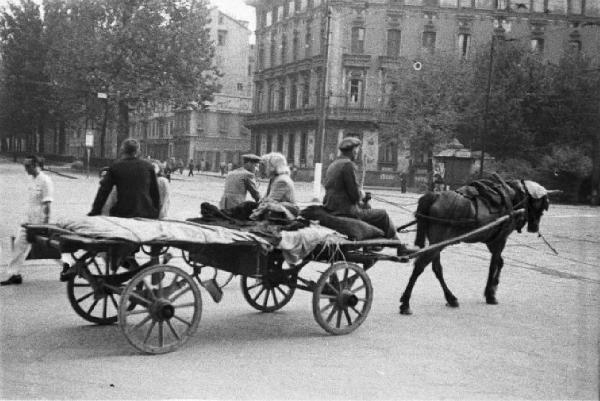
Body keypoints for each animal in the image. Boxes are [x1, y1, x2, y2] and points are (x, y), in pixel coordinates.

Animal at [400, 177, 552, 314]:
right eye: (541, 204)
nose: (534, 227)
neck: (513, 197)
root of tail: (435, 195)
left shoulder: (492, 241)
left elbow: (500, 262)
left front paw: (494, 287)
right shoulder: (500, 240)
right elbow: (494, 265)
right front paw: (490, 294)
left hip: (436, 243)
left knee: (436, 268)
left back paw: (450, 298)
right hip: (438, 243)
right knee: (419, 266)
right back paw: (406, 303)